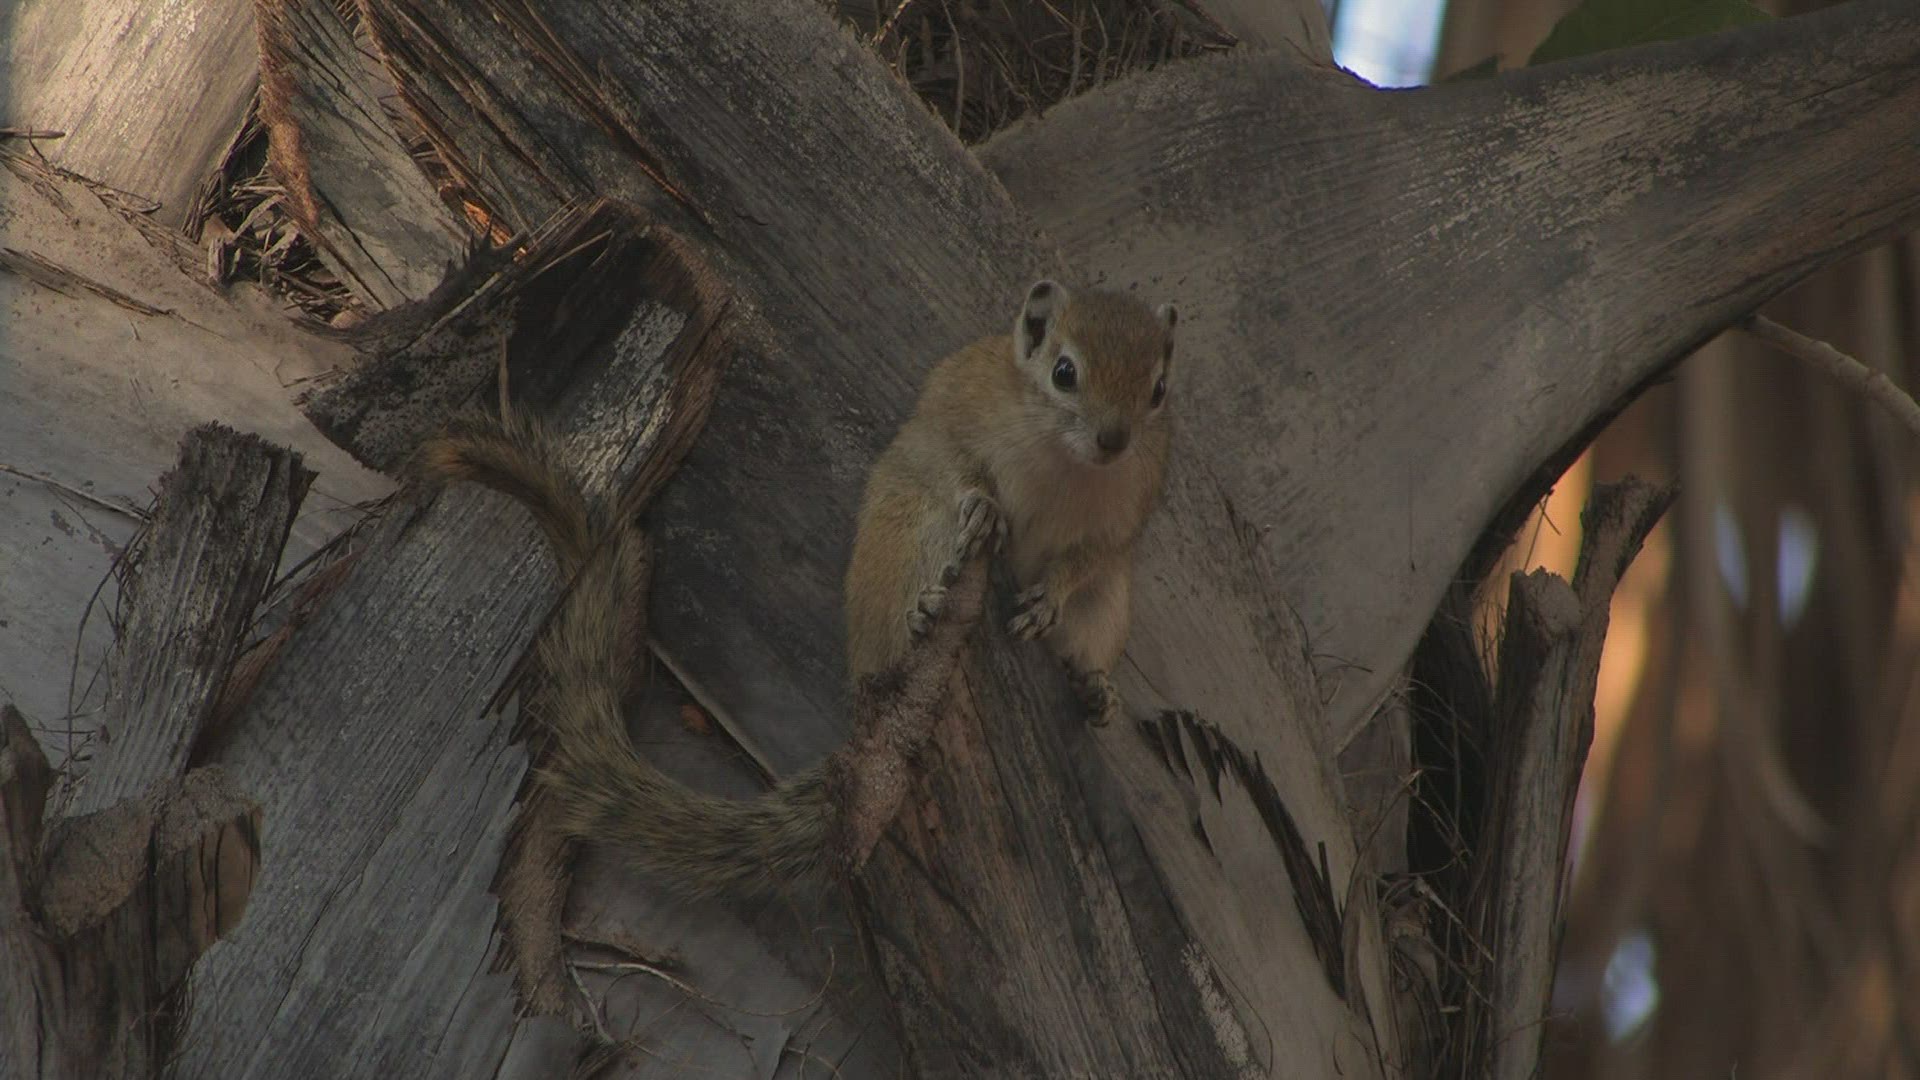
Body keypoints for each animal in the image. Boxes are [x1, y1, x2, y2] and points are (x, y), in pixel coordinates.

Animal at [418, 279, 1178, 900]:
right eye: (1064, 372)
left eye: (1158, 390)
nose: (1114, 439)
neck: (1064, 464)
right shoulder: (956, 416)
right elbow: (956, 464)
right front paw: (987, 507)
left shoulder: (1125, 515)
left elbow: (1087, 559)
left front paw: (1048, 598)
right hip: (905, 540)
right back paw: (925, 612)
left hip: (1110, 608)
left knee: (1088, 635)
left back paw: (1092, 688)